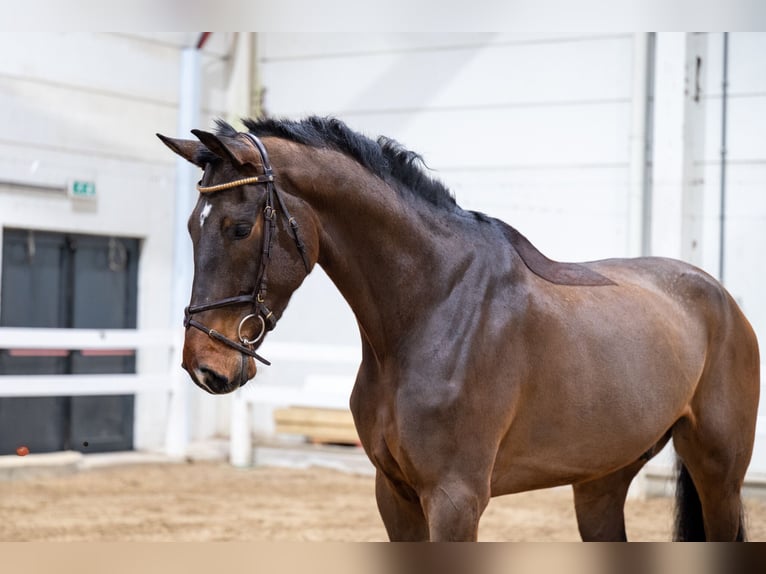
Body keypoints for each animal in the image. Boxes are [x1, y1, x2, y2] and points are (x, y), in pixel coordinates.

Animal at [158, 118, 760, 544]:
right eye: (190, 226)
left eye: (239, 228)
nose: (205, 366)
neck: (433, 306)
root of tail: (721, 297)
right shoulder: (395, 495)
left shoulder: (455, 499)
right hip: (601, 482)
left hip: (719, 475)